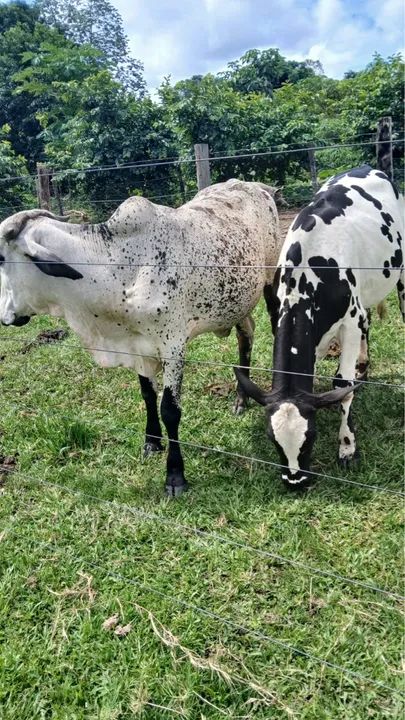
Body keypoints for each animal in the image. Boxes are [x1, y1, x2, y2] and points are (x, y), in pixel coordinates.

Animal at [0, 180, 282, 496]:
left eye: (1, 258)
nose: (5, 316)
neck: (117, 268)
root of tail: (255, 186)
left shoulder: (173, 346)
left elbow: (170, 409)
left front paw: (175, 476)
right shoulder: (137, 347)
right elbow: (148, 395)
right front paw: (151, 442)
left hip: (270, 280)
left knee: (273, 323)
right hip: (237, 303)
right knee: (246, 335)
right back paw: (241, 399)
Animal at [235, 165, 404, 489]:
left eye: (310, 437)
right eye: (272, 439)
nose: (295, 480)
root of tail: (369, 167)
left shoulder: (349, 321)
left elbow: (341, 385)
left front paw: (347, 447)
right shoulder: (282, 314)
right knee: (367, 322)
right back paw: (363, 369)